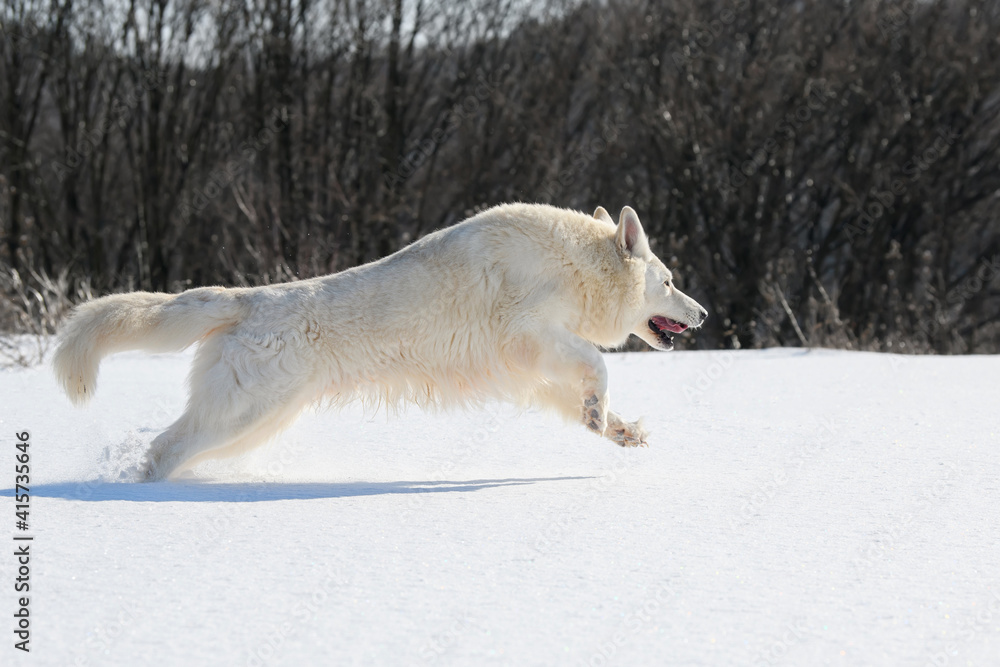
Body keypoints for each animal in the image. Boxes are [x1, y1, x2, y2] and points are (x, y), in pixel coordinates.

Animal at [54, 204, 708, 480]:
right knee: (163, 448)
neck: (574, 265)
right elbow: (599, 364)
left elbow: (584, 394)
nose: (702, 314)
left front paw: (615, 428)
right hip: (240, 417)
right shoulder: (531, 334)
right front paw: (602, 414)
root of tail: (249, 299)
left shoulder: (531, 367)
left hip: (258, 422)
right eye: (669, 282)